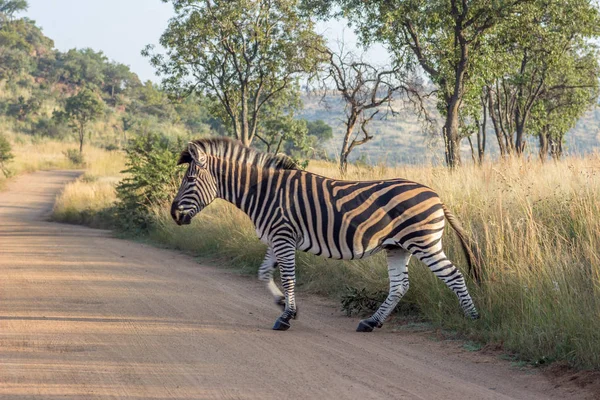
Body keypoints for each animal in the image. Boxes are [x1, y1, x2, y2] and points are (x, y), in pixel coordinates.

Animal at [171, 138, 480, 332]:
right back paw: (370, 323)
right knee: (400, 286)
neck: (262, 192)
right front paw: (284, 304)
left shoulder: (283, 236)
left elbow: (288, 277)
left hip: (423, 242)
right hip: (397, 247)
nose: (174, 215)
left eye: (189, 180)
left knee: (453, 275)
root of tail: (437, 196)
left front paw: (286, 316)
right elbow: (263, 273)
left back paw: (473, 319)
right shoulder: (277, 237)